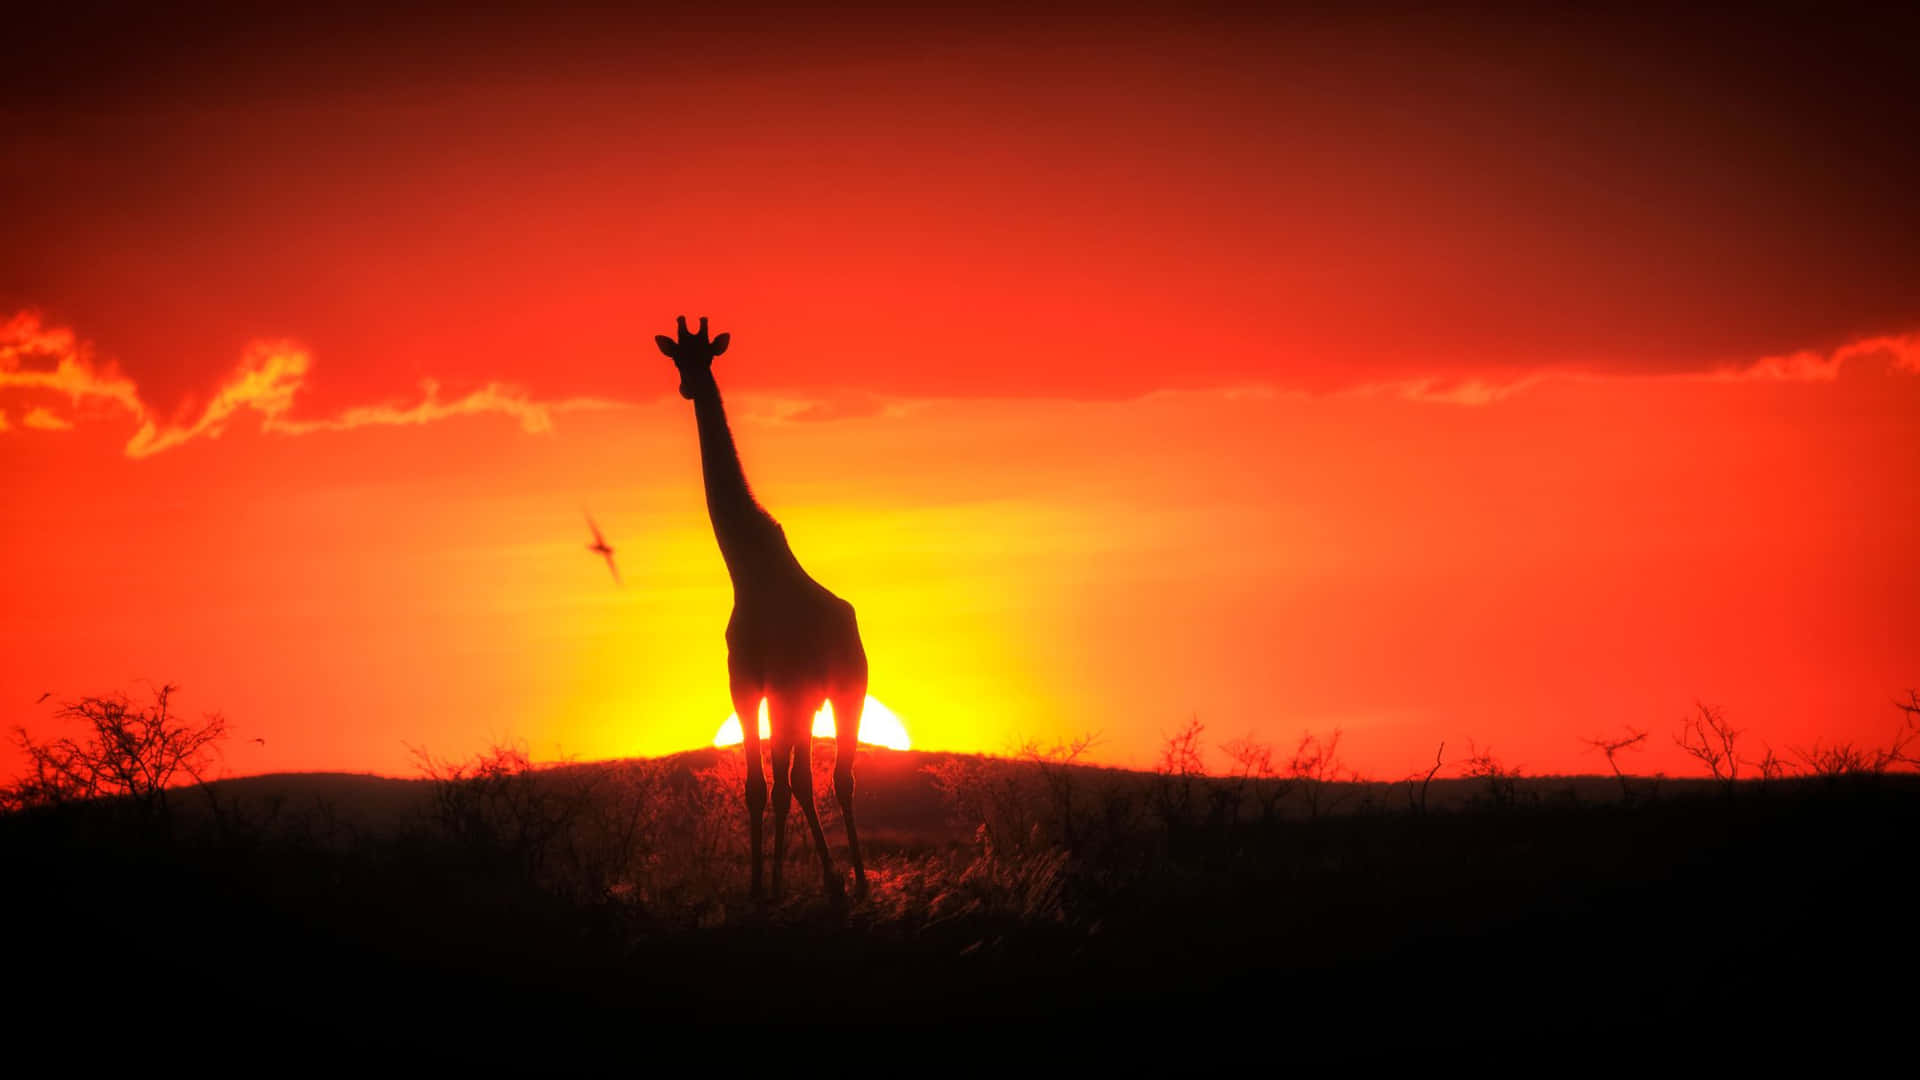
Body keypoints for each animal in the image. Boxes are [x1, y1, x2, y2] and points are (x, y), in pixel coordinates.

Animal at [656, 315, 869, 902]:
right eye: (677, 357)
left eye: (705, 356)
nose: (688, 387)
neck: (747, 568)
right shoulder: (760, 687)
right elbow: (766, 784)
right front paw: (762, 884)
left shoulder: (765, 685)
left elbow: (769, 787)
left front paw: (766, 885)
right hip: (815, 697)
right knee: (810, 779)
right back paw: (838, 879)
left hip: (839, 689)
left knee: (831, 778)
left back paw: (854, 880)